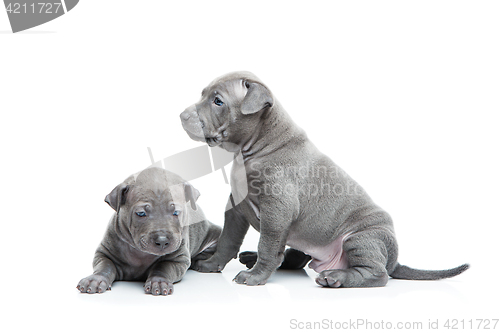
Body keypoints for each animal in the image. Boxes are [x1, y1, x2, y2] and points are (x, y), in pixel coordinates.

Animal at [76, 167, 221, 294]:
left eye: (176, 212)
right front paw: (96, 280)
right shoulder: (104, 252)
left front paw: (159, 282)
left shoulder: (178, 259)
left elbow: (163, 267)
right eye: (141, 214)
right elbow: (105, 266)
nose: (162, 241)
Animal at [182, 71, 470, 286]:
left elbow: (268, 245)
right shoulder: (236, 208)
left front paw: (255, 277)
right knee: (294, 258)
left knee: (377, 274)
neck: (260, 144)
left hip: (361, 237)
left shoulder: (277, 210)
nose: (181, 116)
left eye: (218, 101)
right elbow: (228, 240)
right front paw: (212, 264)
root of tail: (394, 259)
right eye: (203, 94)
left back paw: (336, 278)